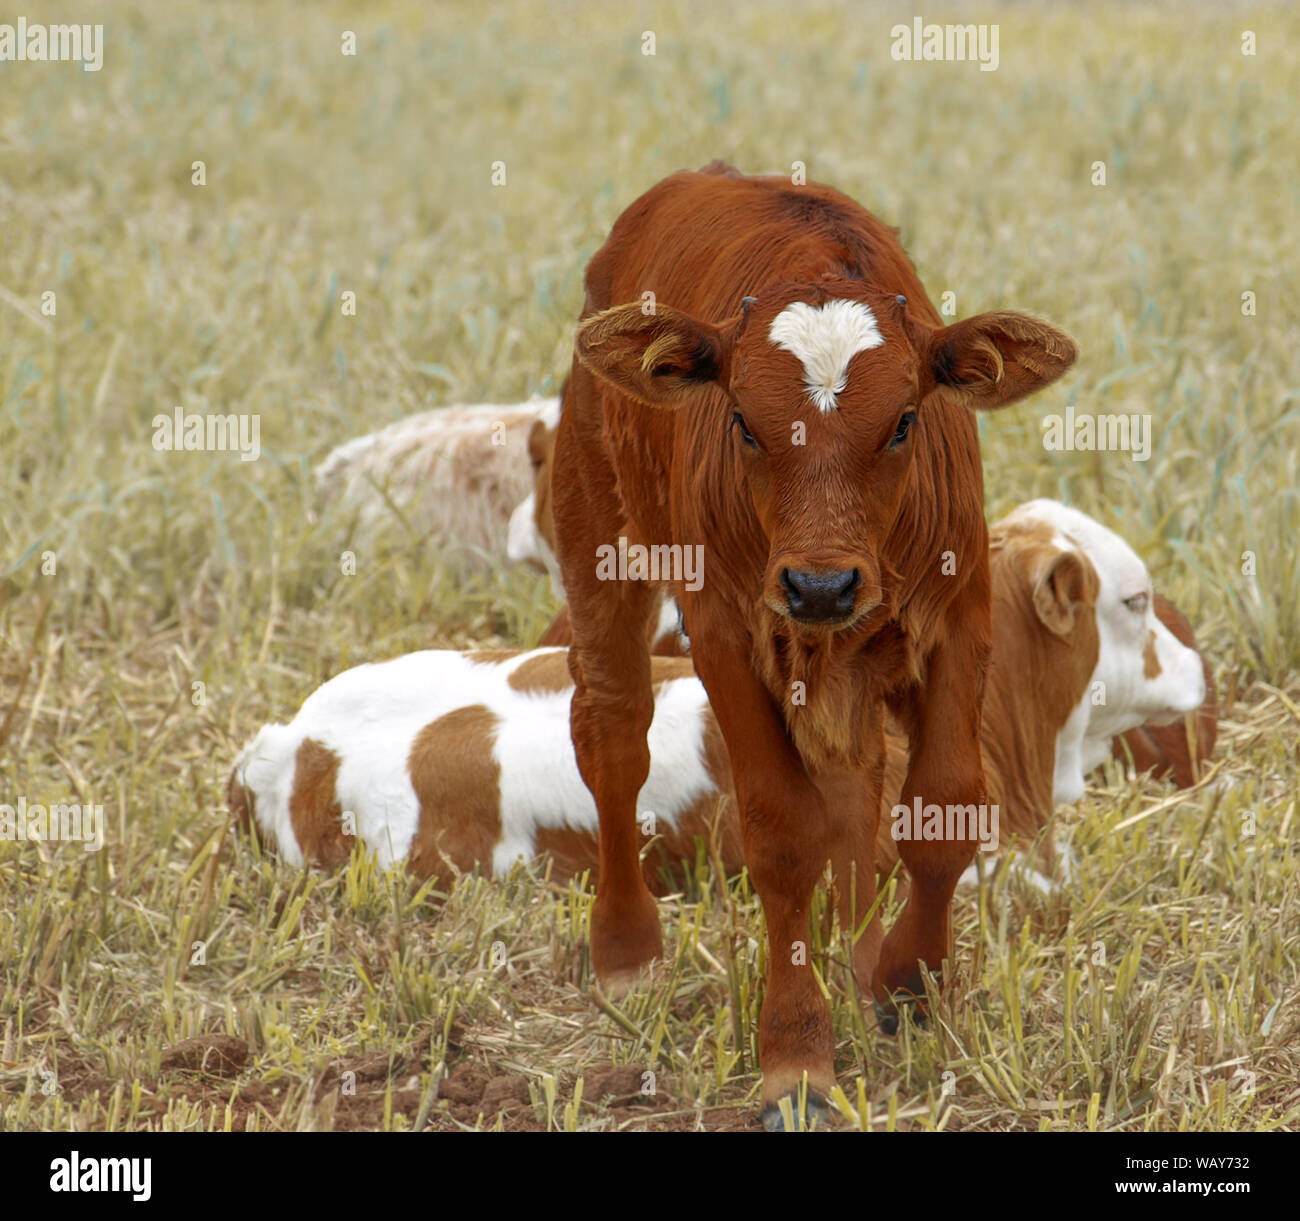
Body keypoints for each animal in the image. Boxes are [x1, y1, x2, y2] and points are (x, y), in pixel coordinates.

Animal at [551, 162, 1076, 1128]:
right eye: (745, 424)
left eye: (904, 420)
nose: (821, 587)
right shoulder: (726, 632)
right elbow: (786, 836)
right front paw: (797, 1057)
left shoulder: (961, 617)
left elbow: (941, 805)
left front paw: (904, 976)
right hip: (596, 529)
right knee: (612, 732)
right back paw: (626, 947)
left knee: (855, 780)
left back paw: (861, 953)